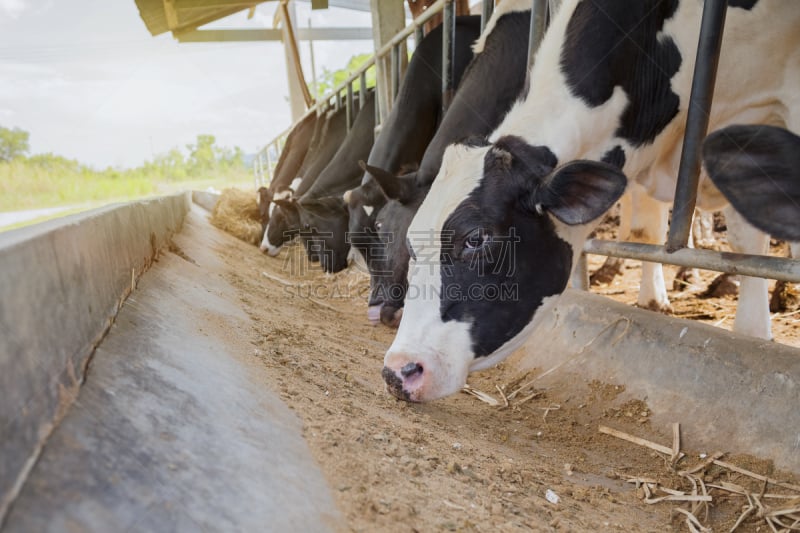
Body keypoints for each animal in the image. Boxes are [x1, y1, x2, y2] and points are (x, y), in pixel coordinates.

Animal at [382, 0, 800, 400]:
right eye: (411, 245)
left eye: (476, 239)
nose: (399, 371)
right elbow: (649, 229)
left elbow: (751, 235)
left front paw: (753, 329)